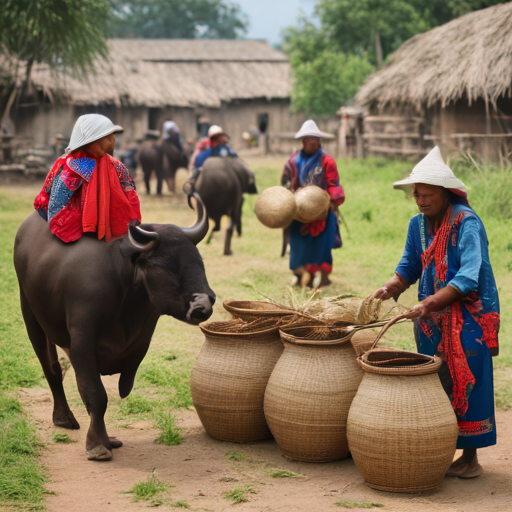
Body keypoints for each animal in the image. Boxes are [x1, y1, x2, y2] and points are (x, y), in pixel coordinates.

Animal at [13, 194, 214, 462]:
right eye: (165, 266)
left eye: (198, 261)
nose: (204, 304)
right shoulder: (82, 341)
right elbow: (96, 394)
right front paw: (98, 445)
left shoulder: (142, 336)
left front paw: (107, 440)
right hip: (29, 311)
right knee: (51, 367)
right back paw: (64, 418)